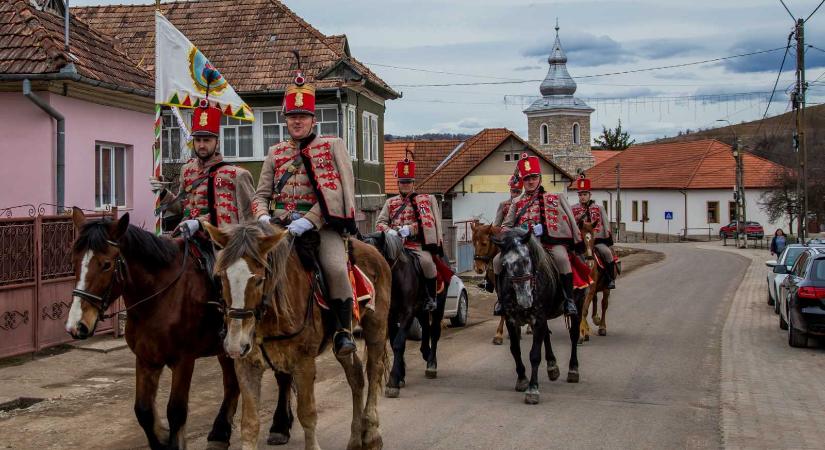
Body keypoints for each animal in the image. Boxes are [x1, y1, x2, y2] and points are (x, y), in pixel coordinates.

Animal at [66, 208, 238, 450]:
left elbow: (176, 411)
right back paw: (220, 431)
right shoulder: (146, 358)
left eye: (107, 264)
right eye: (74, 261)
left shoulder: (184, 360)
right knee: (232, 383)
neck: (160, 297)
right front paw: (162, 439)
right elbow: (143, 411)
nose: (76, 325)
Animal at [204, 223, 388, 448]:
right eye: (221, 278)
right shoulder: (246, 364)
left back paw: (371, 434)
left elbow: (307, 414)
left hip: (376, 327)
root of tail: (375, 252)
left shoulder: (304, 364)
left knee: (374, 371)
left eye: (259, 280)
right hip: (342, 345)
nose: (234, 344)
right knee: (355, 376)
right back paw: (355, 438)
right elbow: (249, 424)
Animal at [360, 232, 448, 398]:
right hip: (421, 310)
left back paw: (431, 364)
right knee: (425, 328)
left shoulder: (407, 313)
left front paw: (393, 381)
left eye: (376, 257)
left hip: (437, 307)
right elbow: (395, 343)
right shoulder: (390, 315)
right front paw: (400, 376)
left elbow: (399, 343)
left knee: (434, 331)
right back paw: (425, 352)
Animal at [490, 229, 580, 404]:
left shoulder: (538, 318)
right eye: (504, 265)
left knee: (573, 336)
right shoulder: (512, 320)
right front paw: (522, 379)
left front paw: (532, 389)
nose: (525, 299)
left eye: (527, 260)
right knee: (546, 335)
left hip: (578, 303)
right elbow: (515, 349)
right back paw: (552, 366)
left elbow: (535, 354)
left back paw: (573, 369)